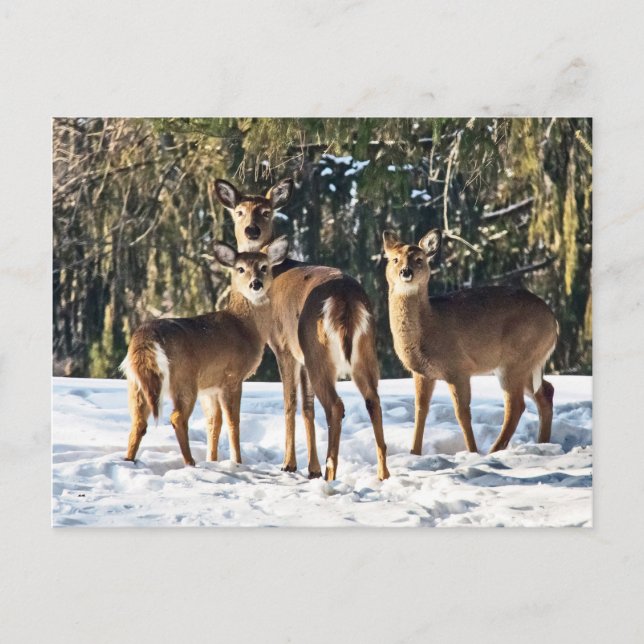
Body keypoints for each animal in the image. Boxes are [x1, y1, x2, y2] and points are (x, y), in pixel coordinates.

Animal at [120, 236, 289, 466]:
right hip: (184, 378)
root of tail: (146, 337)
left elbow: (214, 423)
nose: (256, 283)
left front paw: (213, 460)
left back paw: (129, 459)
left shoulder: (210, 386)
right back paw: (190, 462)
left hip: (136, 382)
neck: (245, 327)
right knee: (177, 418)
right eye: (240, 269)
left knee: (138, 421)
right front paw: (237, 462)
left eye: (264, 267)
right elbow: (232, 422)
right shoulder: (231, 376)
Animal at [214, 178, 390, 481]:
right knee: (372, 400)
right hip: (363, 350)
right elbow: (308, 408)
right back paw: (382, 473)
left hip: (319, 350)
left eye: (266, 211)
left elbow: (290, 403)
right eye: (239, 211)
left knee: (336, 405)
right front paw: (312, 468)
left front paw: (290, 464)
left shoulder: (283, 346)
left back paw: (332, 471)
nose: (252, 229)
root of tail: (345, 298)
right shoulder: (301, 354)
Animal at [383, 228, 558, 455]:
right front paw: (414, 453)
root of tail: (554, 322)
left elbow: (462, 413)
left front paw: (472, 451)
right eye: (395, 259)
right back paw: (542, 443)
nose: (406, 272)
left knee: (516, 405)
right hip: (528, 364)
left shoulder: (458, 368)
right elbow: (420, 410)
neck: (430, 326)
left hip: (516, 359)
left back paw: (493, 450)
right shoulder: (422, 373)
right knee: (545, 392)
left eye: (419, 259)